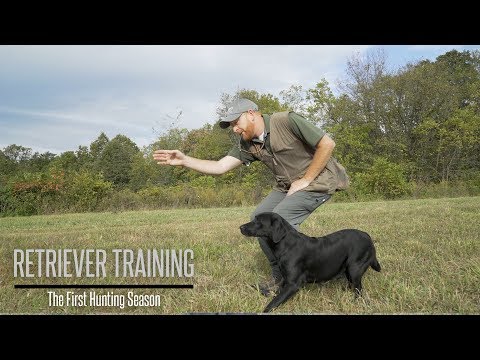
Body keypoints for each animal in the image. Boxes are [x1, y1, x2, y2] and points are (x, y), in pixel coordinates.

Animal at [238, 211, 380, 312]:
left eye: (258, 221)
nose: (240, 227)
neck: (286, 244)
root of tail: (368, 236)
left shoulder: (293, 284)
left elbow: (274, 302)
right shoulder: (285, 280)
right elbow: (276, 293)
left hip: (354, 268)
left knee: (358, 290)